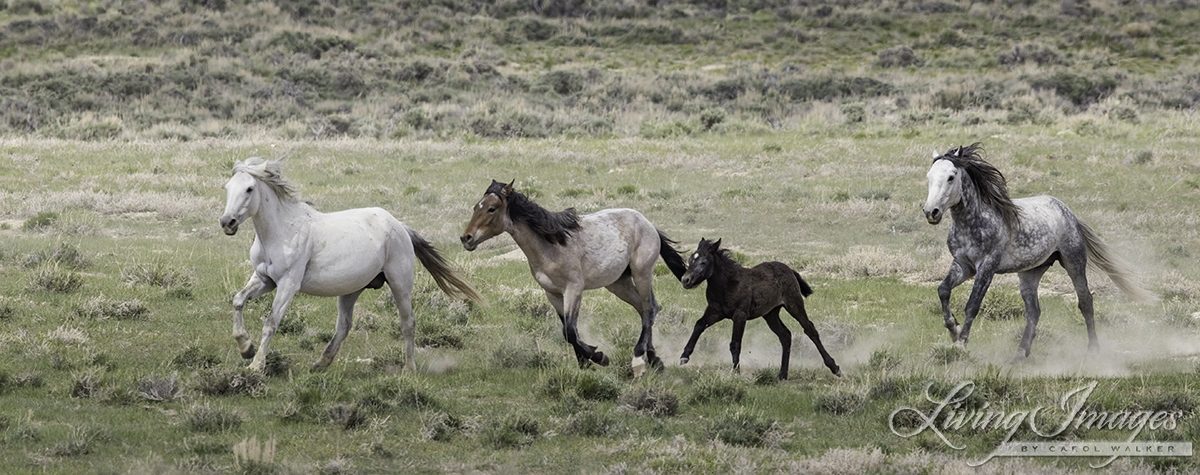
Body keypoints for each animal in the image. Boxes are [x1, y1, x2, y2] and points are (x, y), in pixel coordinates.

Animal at [219, 158, 479, 373]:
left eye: (249, 189)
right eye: (228, 187)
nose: (227, 222)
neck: (281, 231)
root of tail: (400, 226)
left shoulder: (288, 284)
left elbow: (271, 322)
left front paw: (255, 365)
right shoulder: (264, 279)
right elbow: (238, 300)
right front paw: (246, 347)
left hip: (400, 283)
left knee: (408, 323)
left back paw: (409, 368)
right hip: (351, 289)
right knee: (344, 325)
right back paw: (321, 363)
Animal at [460, 180, 688, 376]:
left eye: (492, 208)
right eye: (476, 207)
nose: (466, 238)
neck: (551, 245)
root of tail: (649, 225)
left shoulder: (574, 289)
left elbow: (570, 330)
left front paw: (599, 356)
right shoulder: (552, 293)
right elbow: (569, 331)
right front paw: (586, 361)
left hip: (642, 274)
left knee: (649, 309)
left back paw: (639, 360)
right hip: (618, 284)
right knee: (645, 309)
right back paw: (655, 360)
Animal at [677, 238, 841, 380]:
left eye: (703, 262)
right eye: (690, 259)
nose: (685, 280)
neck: (727, 284)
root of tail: (789, 269)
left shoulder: (740, 315)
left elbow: (735, 344)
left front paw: (736, 372)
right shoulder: (715, 312)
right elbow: (699, 325)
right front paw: (684, 356)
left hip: (794, 305)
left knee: (810, 330)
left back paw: (835, 368)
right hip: (771, 314)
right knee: (785, 335)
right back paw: (782, 375)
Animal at [922, 143, 1150, 357]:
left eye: (951, 177)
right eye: (929, 176)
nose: (931, 212)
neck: (974, 222)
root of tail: (1068, 213)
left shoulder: (986, 267)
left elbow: (972, 305)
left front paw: (960, 343)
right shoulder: (963, 265)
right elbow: (943, 290)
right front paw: (953, 329)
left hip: (1073, 262)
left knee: (1085, 301)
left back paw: (1093, 349)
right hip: (1030, 273)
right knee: (1034, 311)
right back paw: (1020, 354)